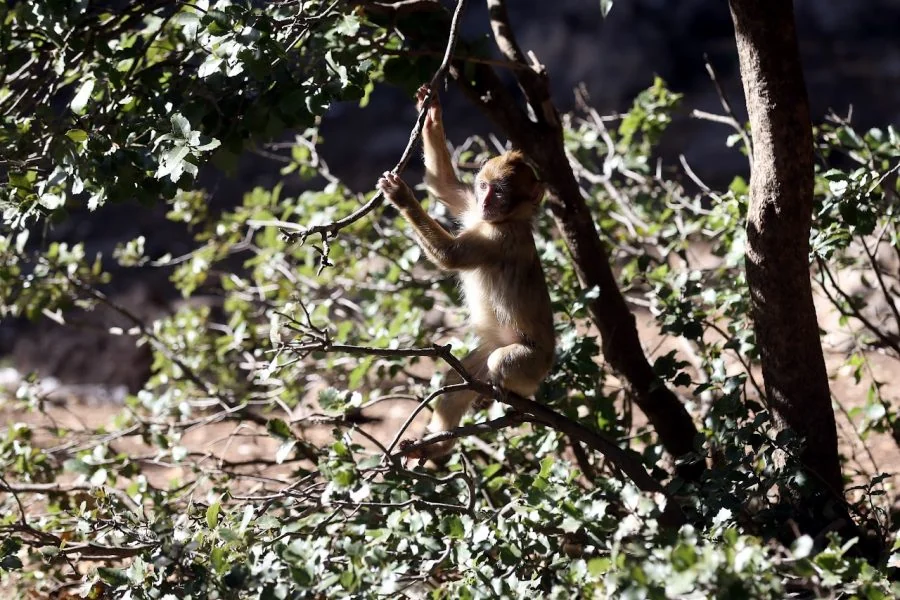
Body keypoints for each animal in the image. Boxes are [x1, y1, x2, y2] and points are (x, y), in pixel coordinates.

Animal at [375, 84, 555, 459]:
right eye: (484, 188)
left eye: (499, 193)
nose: (486, 202)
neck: (502, 219)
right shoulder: (472, 209)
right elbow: (443, 185)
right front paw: (431, 112)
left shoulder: (500, 239)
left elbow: (451, 256)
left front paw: (402, 196)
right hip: (483, 359)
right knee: (457, 383)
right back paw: (435, 447)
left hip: (532, 364)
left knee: (502, 362)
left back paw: (512, 396)